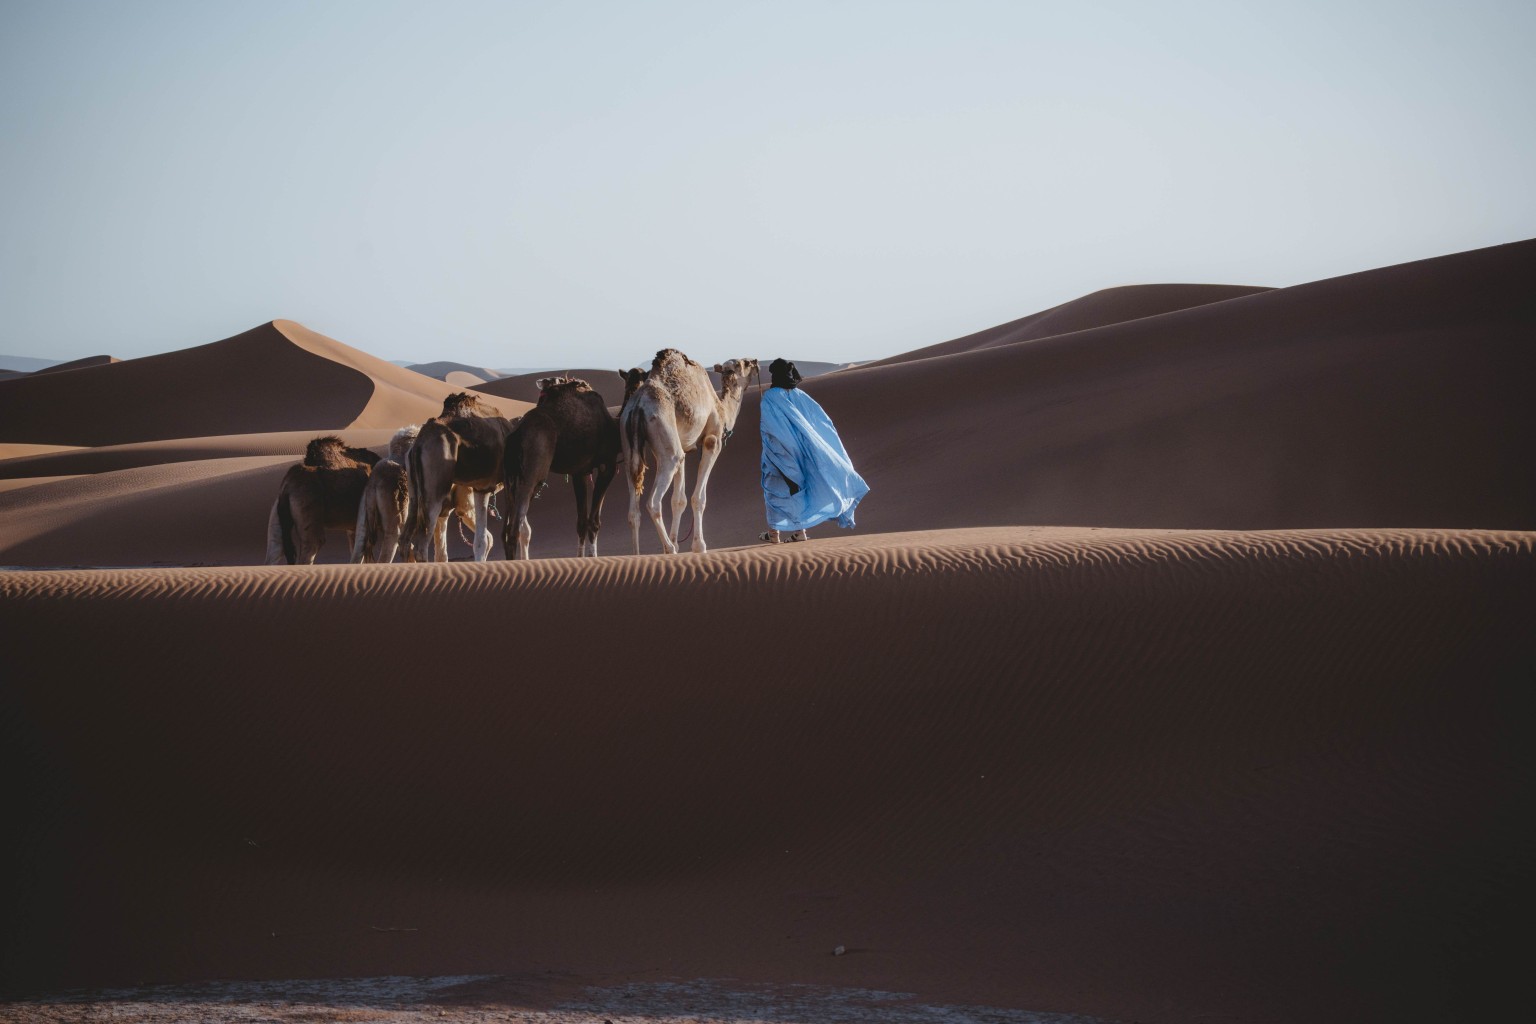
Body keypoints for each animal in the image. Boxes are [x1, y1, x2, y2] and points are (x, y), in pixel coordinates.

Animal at [264, 436, 380, 564]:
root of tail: (287, 486)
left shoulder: (353, 529)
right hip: (309, 521)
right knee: (310, 550)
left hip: (277, 518)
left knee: (274, 553)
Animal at [403, 392, 516, 562]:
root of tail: (418, 444)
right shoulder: (485, 487)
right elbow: (485, 539)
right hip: (434, 489)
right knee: (420, 544)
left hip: (414, 493)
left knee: (405, 541)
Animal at [501, 377, 621, 559]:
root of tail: (516, 434)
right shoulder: (607, 465)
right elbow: (594, 521)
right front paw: (593, 558)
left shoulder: (580, 471)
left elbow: (582, 521)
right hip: (533, 474)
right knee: (514, 530)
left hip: (510, 479)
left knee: (506, 531)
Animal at [620, 349, 758, 554]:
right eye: (745, 363)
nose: (756, 362)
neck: (722, 409)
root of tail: (637, 406)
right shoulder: (712, 441)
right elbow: (698, 498)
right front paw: (699, 546)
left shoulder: (684, 449)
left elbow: (678, 500)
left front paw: (677, 541)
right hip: (667, 445)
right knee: (653, 502)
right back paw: (669, 548)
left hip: (630, 448)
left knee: (633, 510)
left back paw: (638, 554)